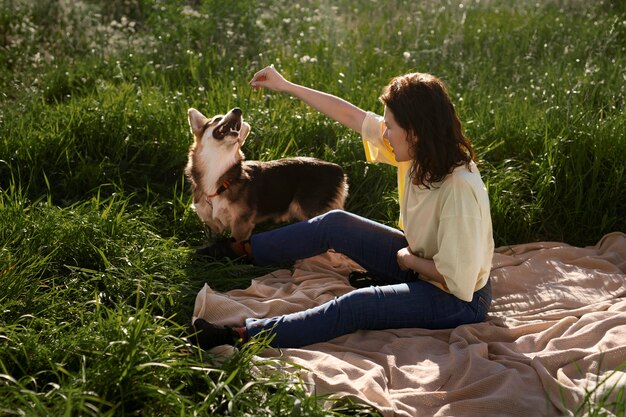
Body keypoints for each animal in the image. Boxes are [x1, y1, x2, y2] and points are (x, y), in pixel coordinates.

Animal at [183, 107, 348, 240]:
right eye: (217, 119)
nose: (238, 110)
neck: (218, 166)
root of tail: (337, 169)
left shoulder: (241, 224)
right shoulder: (211, 225)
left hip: (313, 212)